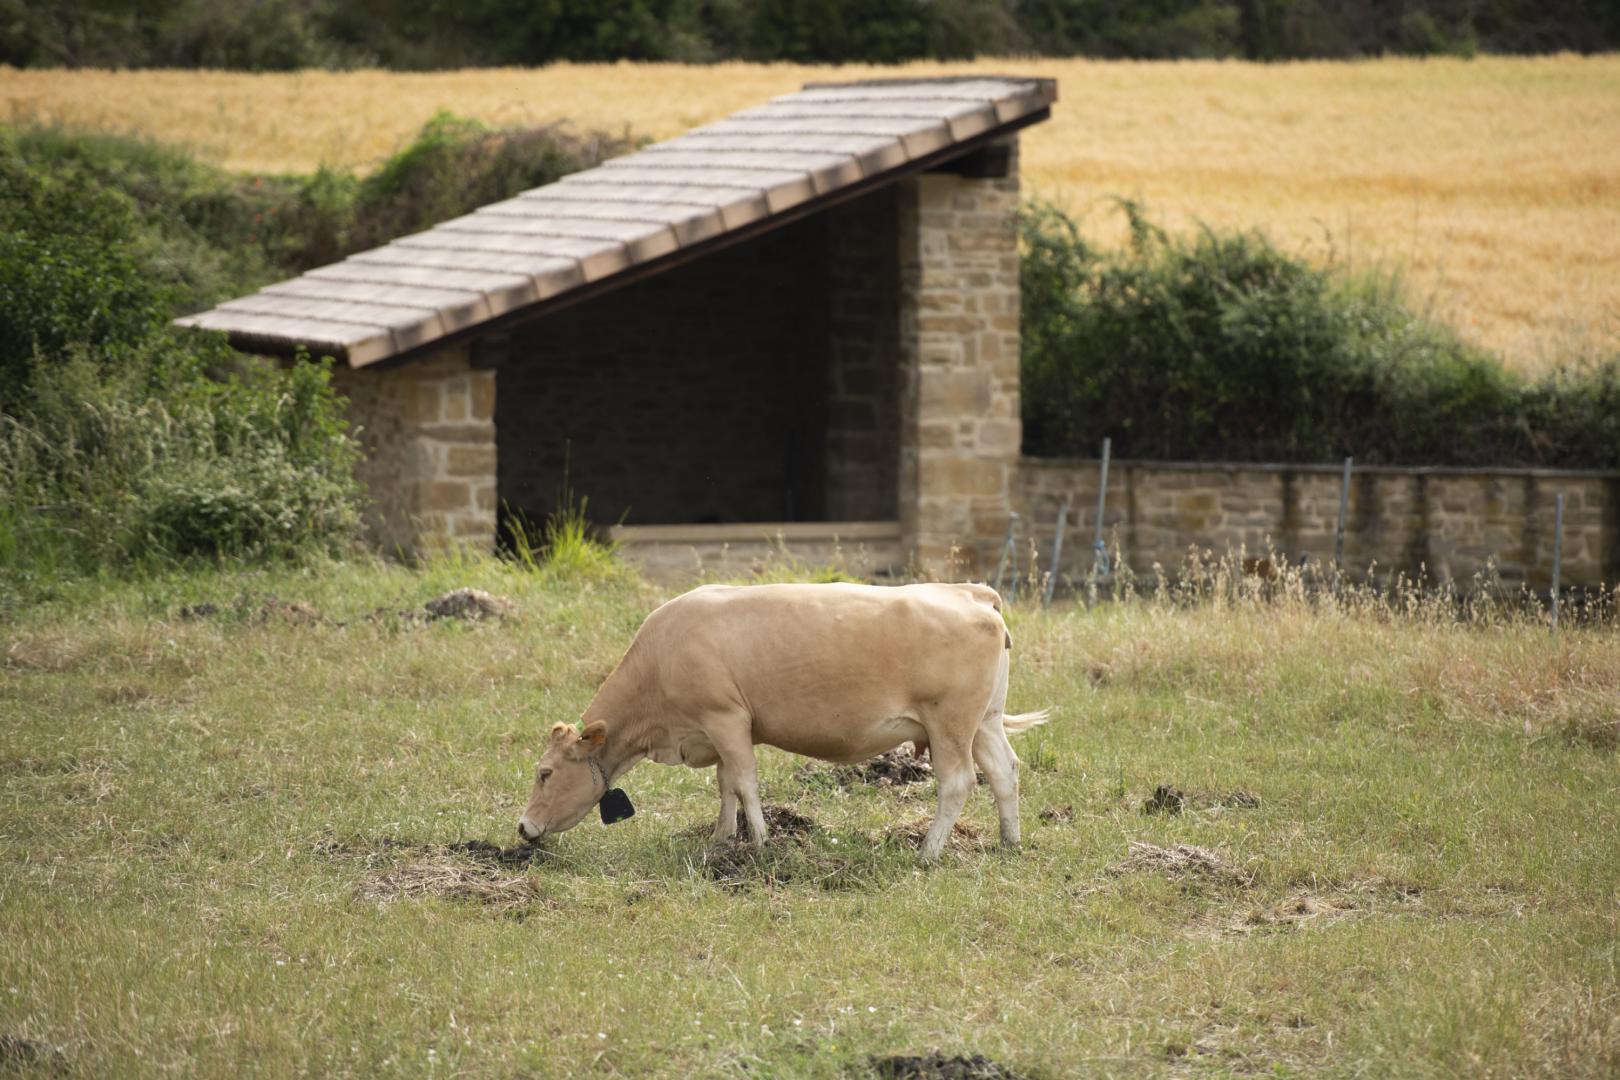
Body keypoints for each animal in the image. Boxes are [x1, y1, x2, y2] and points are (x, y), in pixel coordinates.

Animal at [516, 581, 1049, 860]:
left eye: (545, 773)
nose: (522, 827)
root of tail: (968, 591)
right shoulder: (717, 731)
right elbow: (725, 784)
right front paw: (722, 839)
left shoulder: (726, 717)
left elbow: (745, 783)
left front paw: (760, 844)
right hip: (984, 721)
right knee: (1004, 770)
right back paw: (1010, 841)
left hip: (950, 723)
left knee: (958, 782)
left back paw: (928, 852)